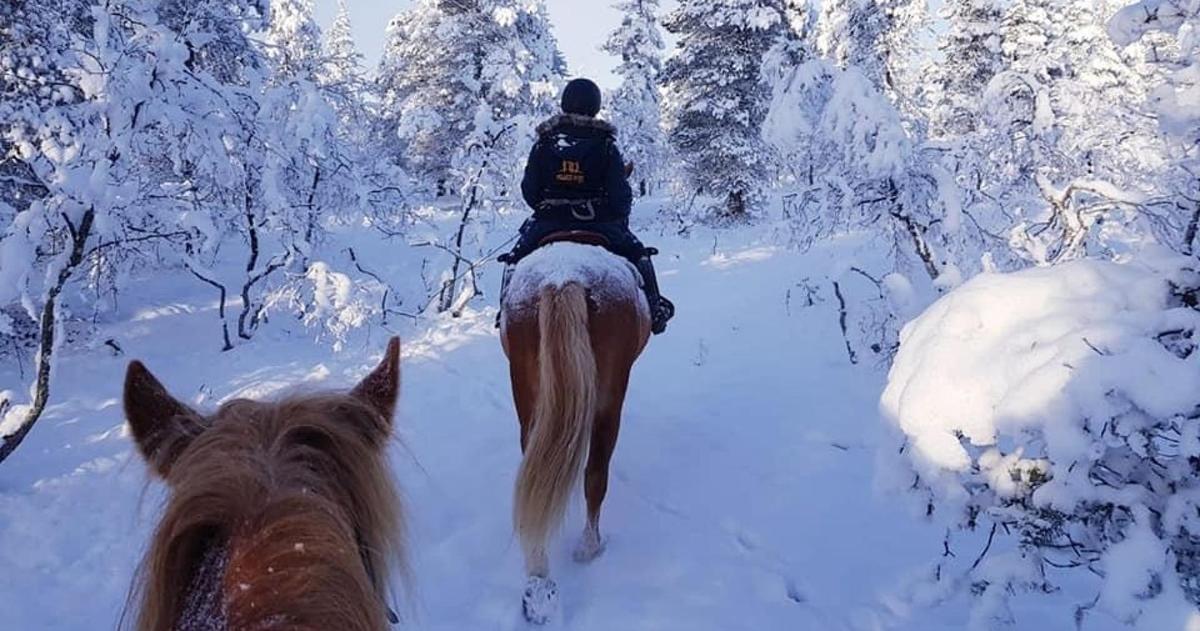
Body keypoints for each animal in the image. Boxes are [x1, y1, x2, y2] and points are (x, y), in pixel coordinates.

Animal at [500, 234, 651, 623]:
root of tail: (562, 276)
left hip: (528, 395)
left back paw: (538, 585)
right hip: (609, 399)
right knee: (596, 474)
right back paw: (589, 546)